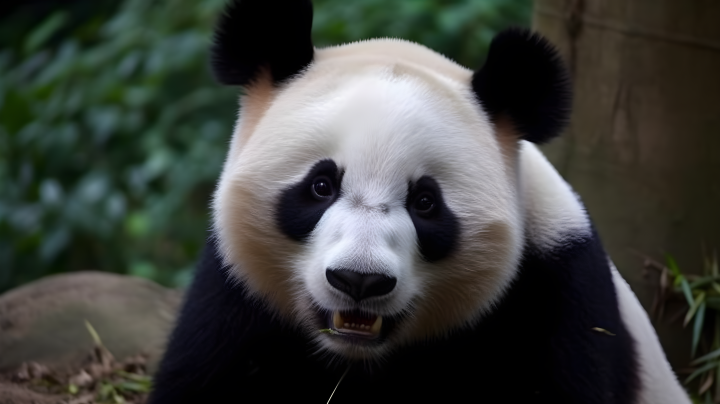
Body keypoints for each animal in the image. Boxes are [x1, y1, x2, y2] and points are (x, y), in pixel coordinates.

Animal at [148, 0, 692, 404]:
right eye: (321, 186)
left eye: (426, 202)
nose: (359, 280)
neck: (359, 357)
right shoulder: (236, 299)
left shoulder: (556, 300)